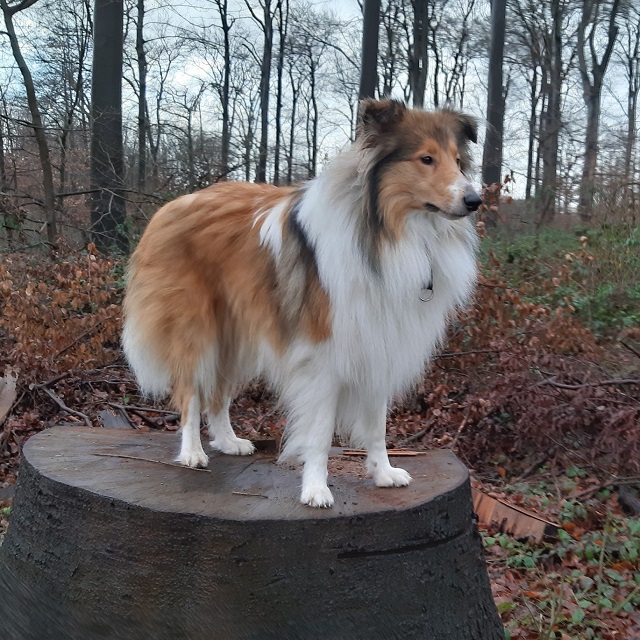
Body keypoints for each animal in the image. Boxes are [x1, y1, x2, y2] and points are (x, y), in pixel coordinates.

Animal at [121, 99, 480, 510]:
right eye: (426, 159)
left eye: (458, 160)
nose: (475, 200)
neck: (385, 233)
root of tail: (168, 208)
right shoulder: (323, 357)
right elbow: (320, 433)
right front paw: (316, 489)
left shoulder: (377, 343)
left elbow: (376, 424)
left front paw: (383, 472)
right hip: (197, 331)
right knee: (191, 393)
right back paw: (193, 452)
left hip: (237, 334)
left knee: (218, 392)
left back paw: (228, 441)